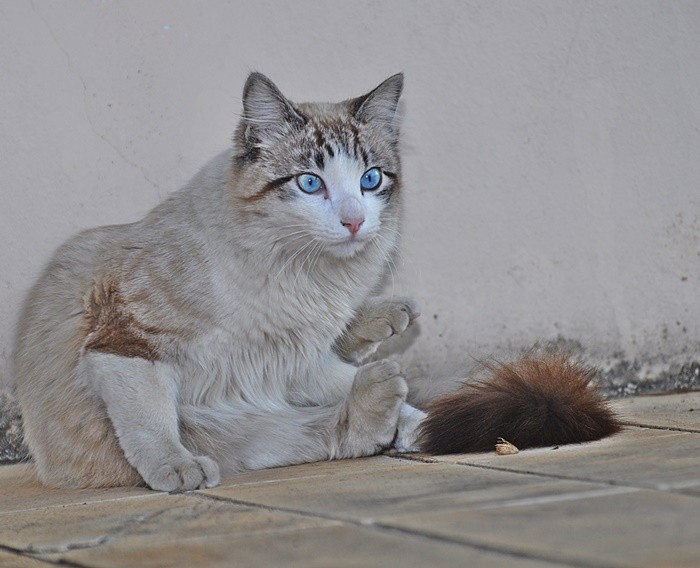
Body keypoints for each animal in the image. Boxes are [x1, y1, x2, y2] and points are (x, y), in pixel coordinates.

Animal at [15, 73, 616, 490]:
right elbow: (150, 423)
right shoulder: (127, 341)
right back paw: (383, 398)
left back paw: (398, 387)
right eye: (310, 184)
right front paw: (175, 470)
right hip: (225, 422)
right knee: (321, 426)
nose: (353, 221)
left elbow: (352, 380)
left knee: (370, 397)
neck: (298, 274)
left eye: (370, 180)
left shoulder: (294, 363)